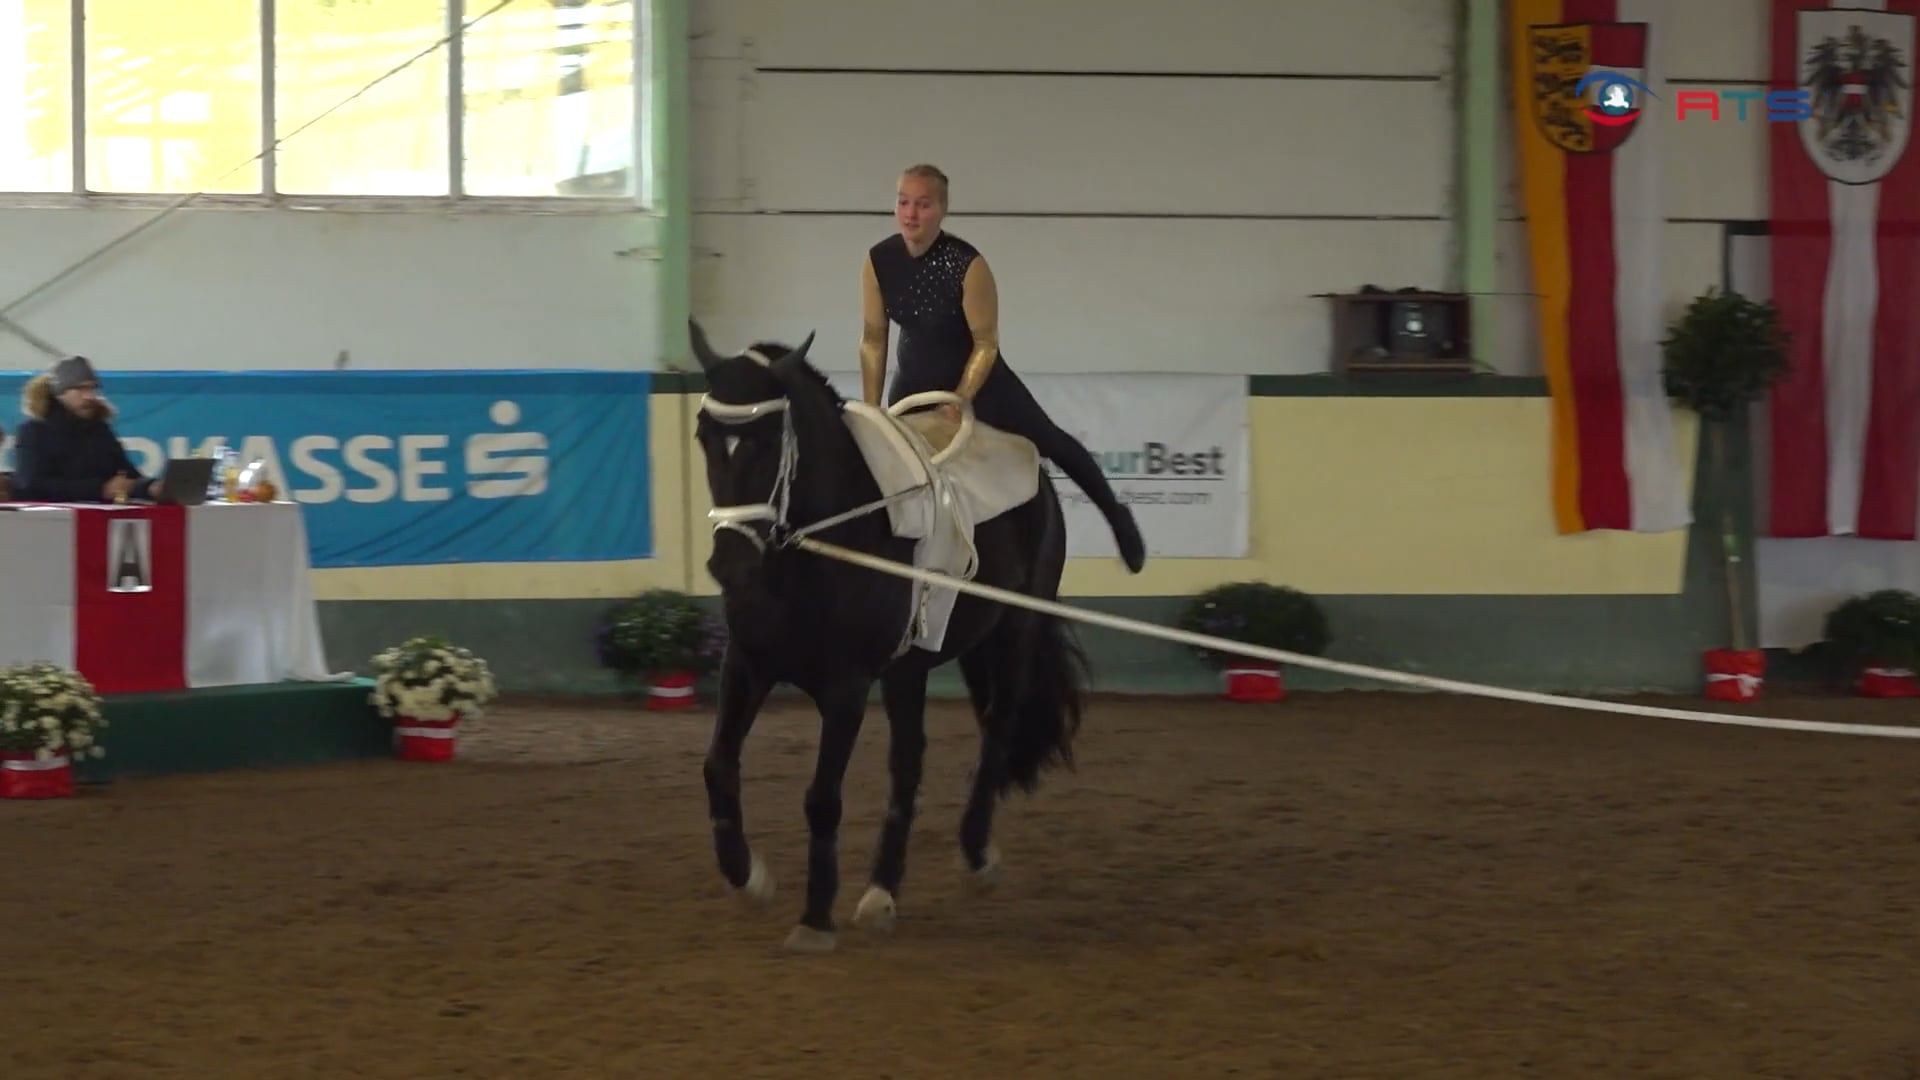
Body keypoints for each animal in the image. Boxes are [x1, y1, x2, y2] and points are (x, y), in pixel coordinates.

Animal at [691, 315, 1090, 945]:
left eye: (768, 441)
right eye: (704, 436)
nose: (729, 564)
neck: (815, 548)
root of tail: (1037, 473)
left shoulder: (847, 686)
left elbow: (822, 798)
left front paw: (814, 919)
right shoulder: (749, 663)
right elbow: (717, 766)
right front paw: (747, 876)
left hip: (1012, 634)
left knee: (997, 731)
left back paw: (976, 855)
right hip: (913, 667)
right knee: (910, 762)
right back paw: (882, 892)